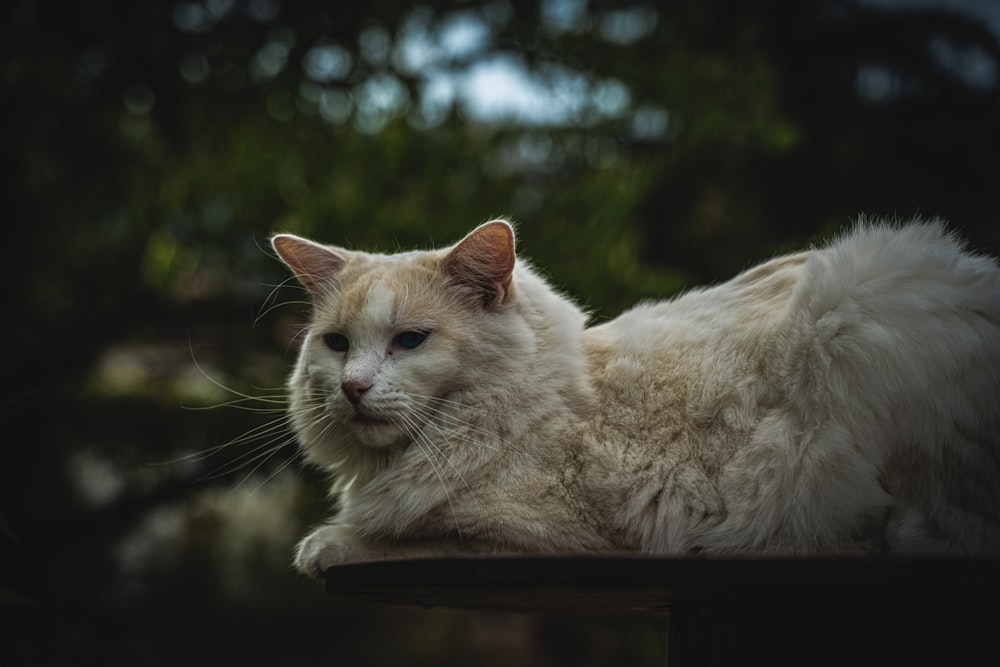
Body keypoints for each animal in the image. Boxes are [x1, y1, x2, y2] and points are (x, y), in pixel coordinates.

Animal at [272, 217, 1000, 576]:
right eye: (336, 344)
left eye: (410, 340)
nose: (353, 386)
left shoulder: (544, 537)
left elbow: (414, 539)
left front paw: (325, 545)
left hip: (853, 313)